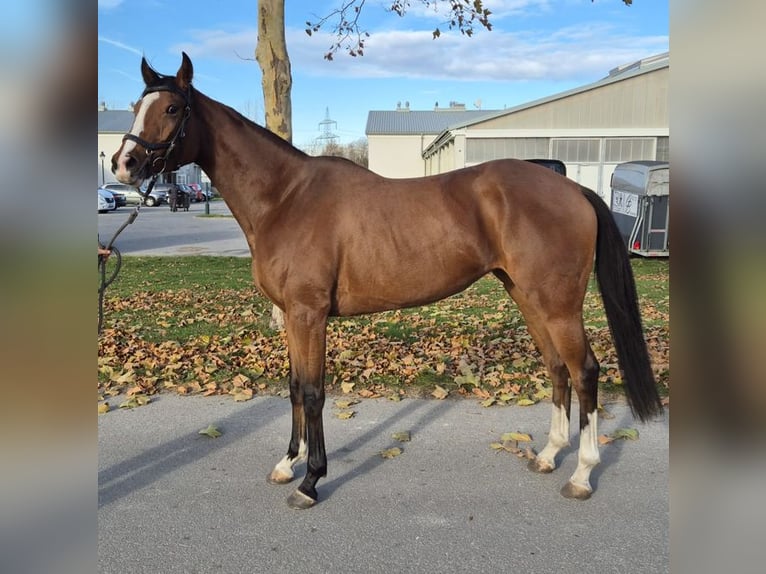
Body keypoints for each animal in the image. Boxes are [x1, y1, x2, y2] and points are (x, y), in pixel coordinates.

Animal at [111, 54, 664, 510]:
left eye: (173, 108)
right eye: (137, 106)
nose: (124, 164)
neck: (285, 197)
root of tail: (572, 188)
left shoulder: (309, 314)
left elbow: (313, 391)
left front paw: (310, 482)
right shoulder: (292, 315)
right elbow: (292, 388)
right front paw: (287, 464)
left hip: (557, 304)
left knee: (585, 371)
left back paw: (582, 474)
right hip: (527, 296)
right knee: (557, 369)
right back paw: (549, 455)